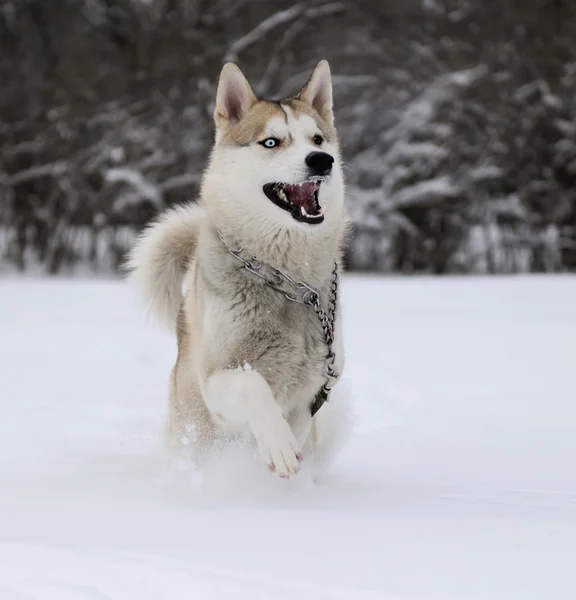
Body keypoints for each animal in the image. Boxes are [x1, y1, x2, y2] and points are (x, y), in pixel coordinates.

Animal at [126, 58, 348, 476]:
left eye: (317, 140)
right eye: (271, 142)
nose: (321, 161)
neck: (284, 279)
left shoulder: (312, 389)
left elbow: (297, 424)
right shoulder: (217, 381)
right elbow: (253, 386)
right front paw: (277, 444)